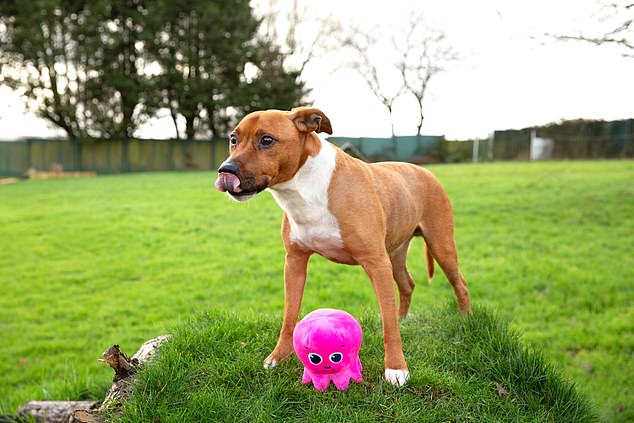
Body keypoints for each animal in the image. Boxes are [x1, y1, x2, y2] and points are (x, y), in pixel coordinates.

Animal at [214, 107, 470, 386]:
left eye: (267, 140)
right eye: (234, 139)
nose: (226, 169)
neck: (305, 189)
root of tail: (426, 171)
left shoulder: (376, 263)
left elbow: (388, 324)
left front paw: (396, 367)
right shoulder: (294, 263)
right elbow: (289, 317)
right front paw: (278, 357)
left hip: (441, 246)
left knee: (459, 284)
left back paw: (466, 319)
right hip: (395, 255)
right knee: (407, 285)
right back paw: (404, 318)